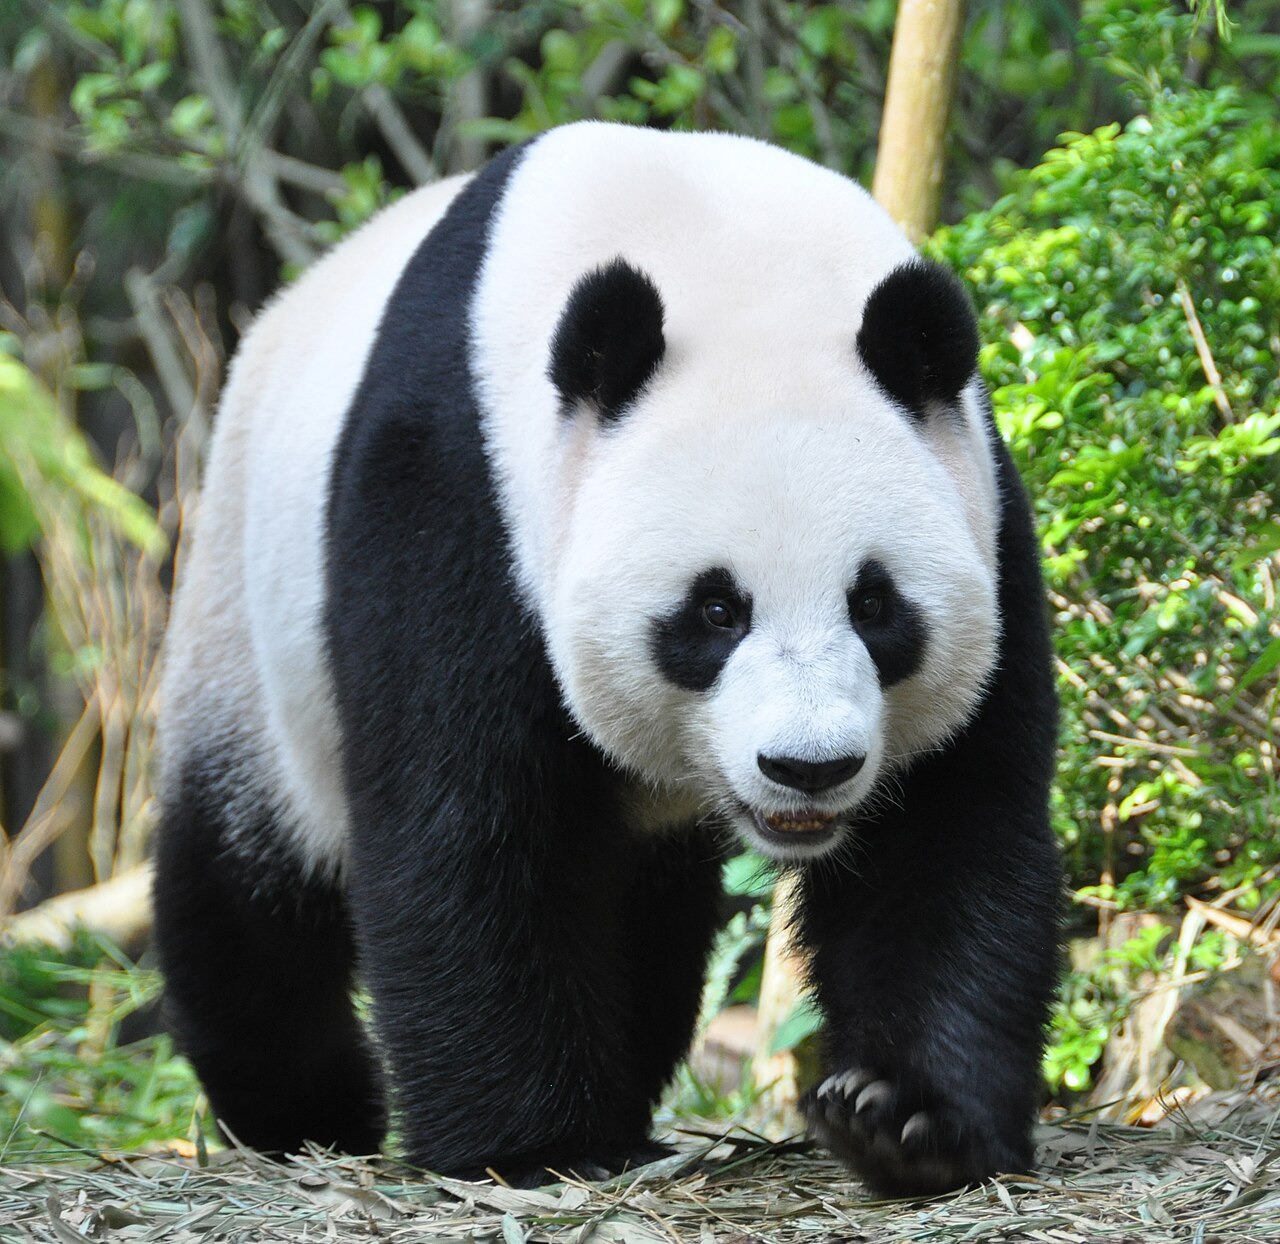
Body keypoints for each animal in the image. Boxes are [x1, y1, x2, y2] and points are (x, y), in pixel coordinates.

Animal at [152, 121, 1061, 1197]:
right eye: (715, 609)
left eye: (874, 604)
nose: (809, 767)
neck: (719, 243)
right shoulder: (458, 487)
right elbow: (472, 821)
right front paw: (526, 1147)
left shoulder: (981, 504)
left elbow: (949, 828)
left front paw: (905, 1117)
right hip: (243, 625)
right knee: (245, 887)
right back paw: (311, 1109)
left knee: (644, 915)